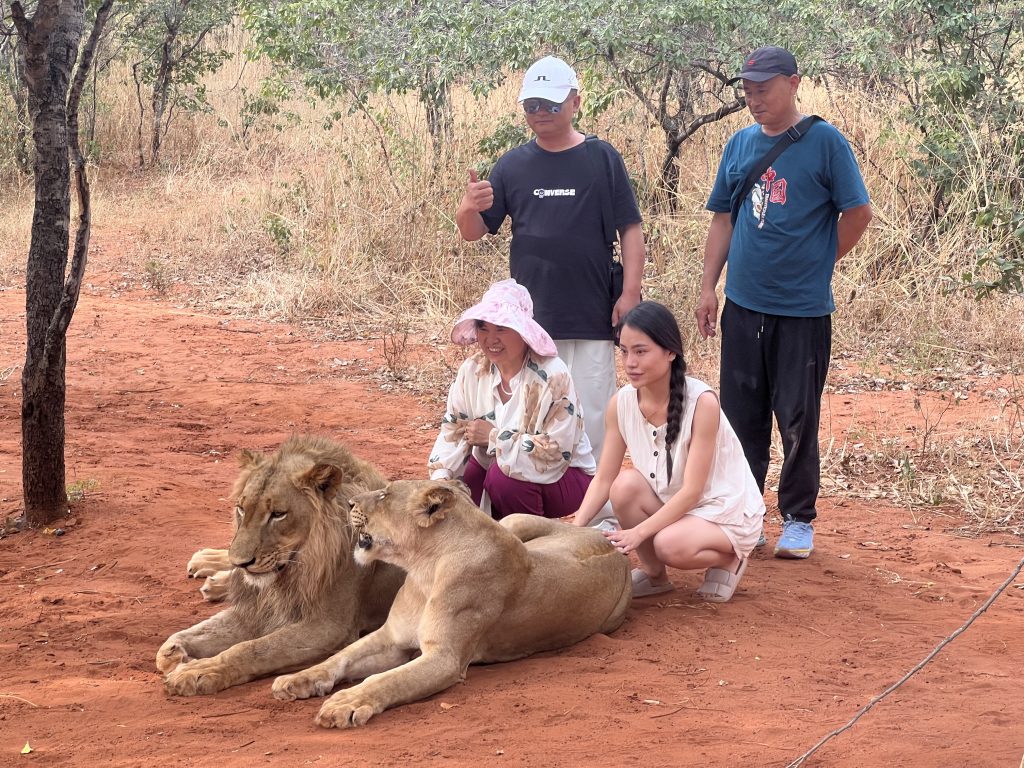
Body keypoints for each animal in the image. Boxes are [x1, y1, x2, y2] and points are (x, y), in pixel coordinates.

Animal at [157, 436, 405, 696]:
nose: (241, 562)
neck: (294, 570)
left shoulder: (329, 626)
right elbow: (179, 640)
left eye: (278, 514)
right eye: (241, 509)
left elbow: (252, 649)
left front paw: (199, 670)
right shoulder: (257, 610)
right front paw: (177, 654)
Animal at [271, 479, 631, 728]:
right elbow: (341, 657)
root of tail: (612, 543)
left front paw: (345, 701)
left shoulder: (445, 658)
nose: (348, 503)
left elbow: (385, 680)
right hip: (514, 520)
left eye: (385, 495)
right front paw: (295, 679)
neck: (423, 569)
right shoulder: (392, 638)